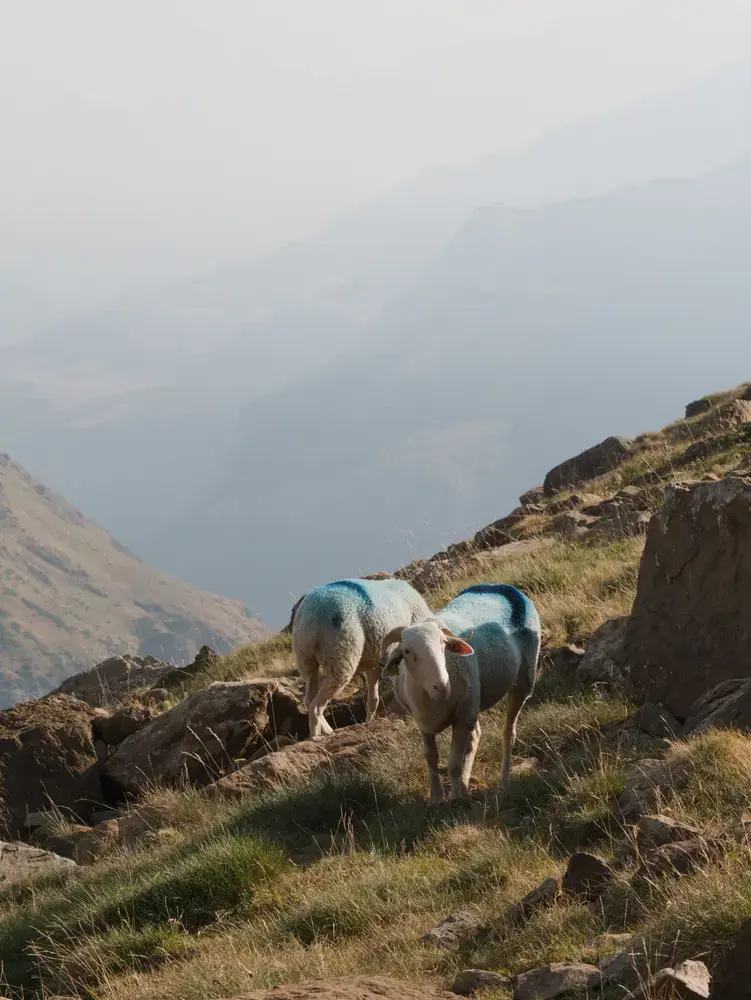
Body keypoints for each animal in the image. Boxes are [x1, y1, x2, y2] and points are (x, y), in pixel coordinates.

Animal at [292, 577, 432, 737]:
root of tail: (312, 618)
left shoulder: (374, 662)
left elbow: (373, 699)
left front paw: (369, 721)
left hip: (305, 658)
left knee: (309, 700)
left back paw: (328, 731)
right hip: (342, 655)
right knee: (316, 706)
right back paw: (317, 736)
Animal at [380, 583, 541, 804]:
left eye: (443, 644)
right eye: (407, 652)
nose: (442, 686)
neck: (433, 701)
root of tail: (497, 586)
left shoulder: (462, 717)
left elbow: (454, 762)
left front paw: (455, 798)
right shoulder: (424, 723)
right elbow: (431, 758)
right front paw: (436, 798)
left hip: (522, 681)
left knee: (508, 732)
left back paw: (503, 782)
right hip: (474, 701)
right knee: (475, 736)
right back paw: (465, 785)